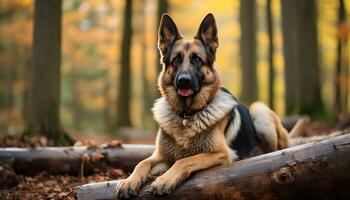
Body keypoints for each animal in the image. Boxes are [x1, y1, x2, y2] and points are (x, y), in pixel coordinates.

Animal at [117, 13, 290, 198]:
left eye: (196, 59)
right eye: (176, 60)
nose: (183, 81)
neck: (187, 114)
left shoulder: (221, 153)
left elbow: (184, 160)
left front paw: (165, 180)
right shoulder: (162, 156)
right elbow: (142, 163)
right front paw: (129, 181)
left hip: (259, 112)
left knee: (273, 150)